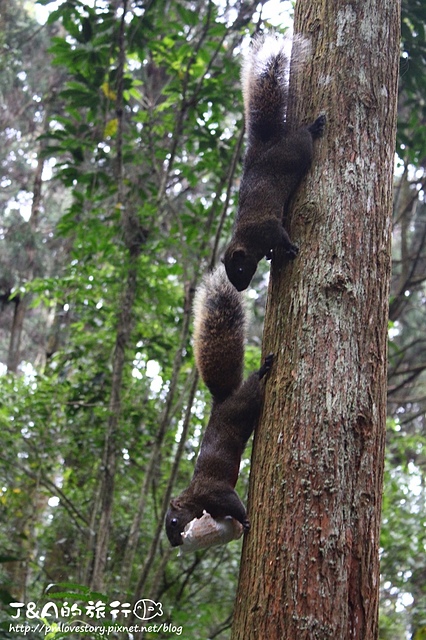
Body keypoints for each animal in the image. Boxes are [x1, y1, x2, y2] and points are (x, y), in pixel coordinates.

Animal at [165, 264, 272, 544]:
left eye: (173, 521)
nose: (175, 543)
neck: (195, 499)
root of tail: (221, 401)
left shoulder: (216, 493)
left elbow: (235, 504)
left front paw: (245, 520)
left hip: (244, 404)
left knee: (253, 386)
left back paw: (263, 370)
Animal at [223, 30, 326, 290]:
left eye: (239, 268)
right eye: (231, 273)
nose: (240, 288)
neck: (247, 240)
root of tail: (265, 149)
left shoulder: (268, 229)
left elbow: (282, 236)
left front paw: (289, 249)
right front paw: (271, 254)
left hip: (295, 151)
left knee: (304, 137)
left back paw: (313, 127)